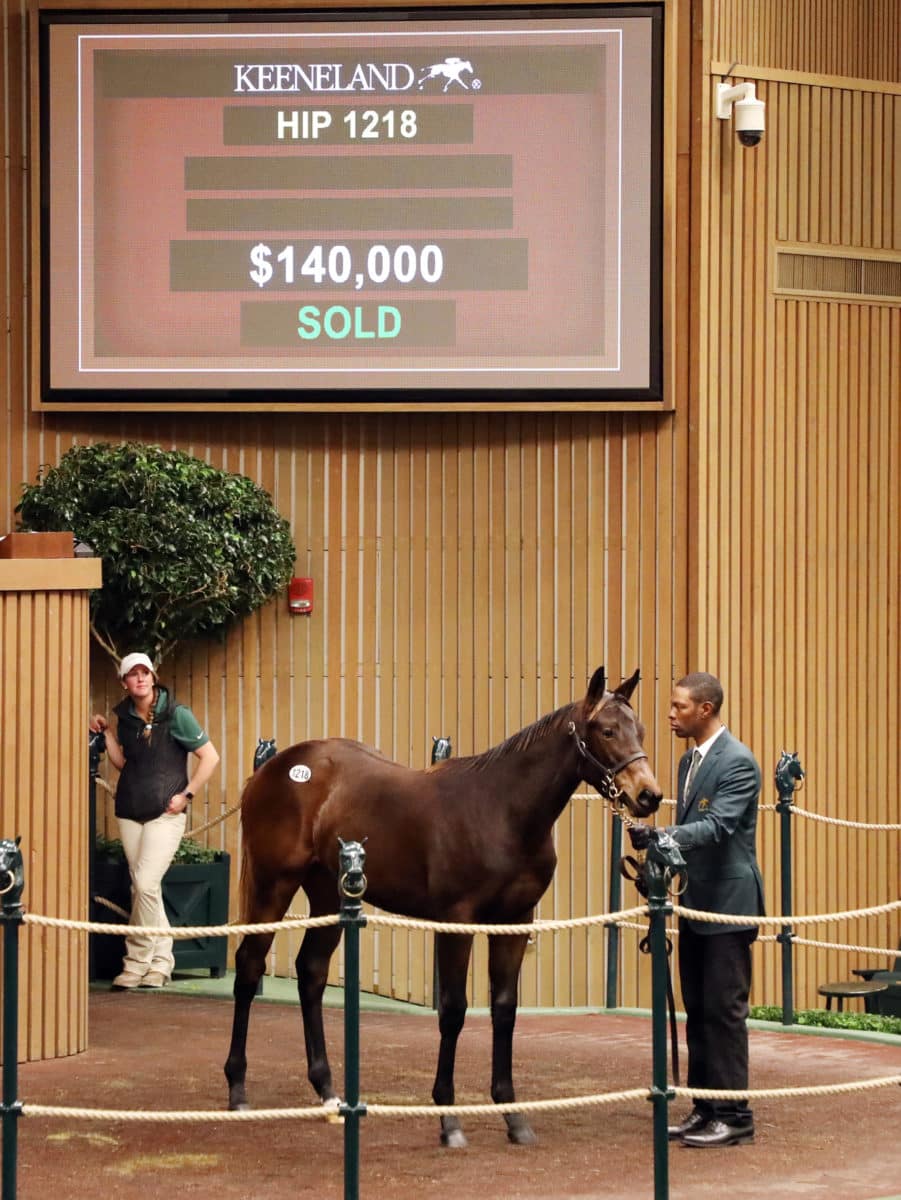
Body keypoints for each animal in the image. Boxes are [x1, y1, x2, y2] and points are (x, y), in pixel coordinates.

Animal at [225, 667, 662, 1142]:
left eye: (640, 730)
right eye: (607, 731)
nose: (649, 795)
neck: (502, 811)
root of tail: (273, 769)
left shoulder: (515, 922)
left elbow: (504, 1009)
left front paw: (512, 1115)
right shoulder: (456, 922)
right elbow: (453, 1011)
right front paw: (449, 1118)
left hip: (328, 893)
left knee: (311, 973)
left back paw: (328, 1092)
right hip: (273, 885)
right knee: (249, 967)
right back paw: (238, 1089)